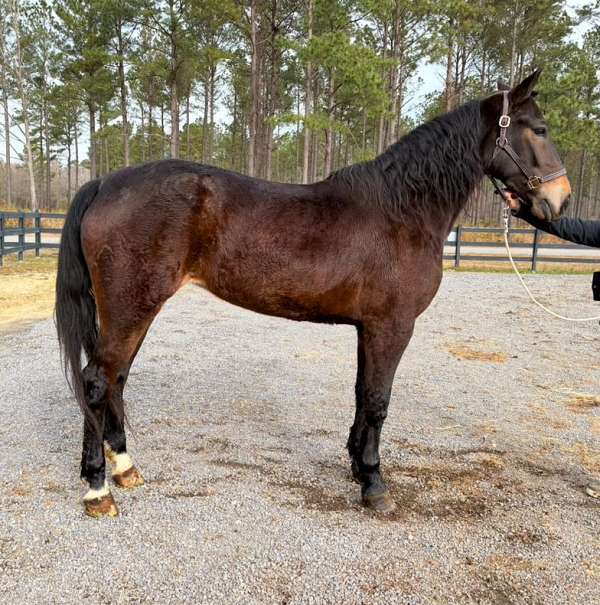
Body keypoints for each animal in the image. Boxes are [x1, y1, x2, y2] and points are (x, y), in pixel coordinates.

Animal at [56, 69, 572, 516]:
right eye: (540, 129)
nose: (560, 199)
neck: (403, 209)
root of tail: (105, 182)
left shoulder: (369, 328)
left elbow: (363, 394)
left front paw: (357, 466)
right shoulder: (392, 326)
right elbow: (379, 401)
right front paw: (374, 484)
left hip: (133, 311)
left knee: (116, 380)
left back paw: (125, 468)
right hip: (131, 308)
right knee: (97, 382)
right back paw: (98, 489)